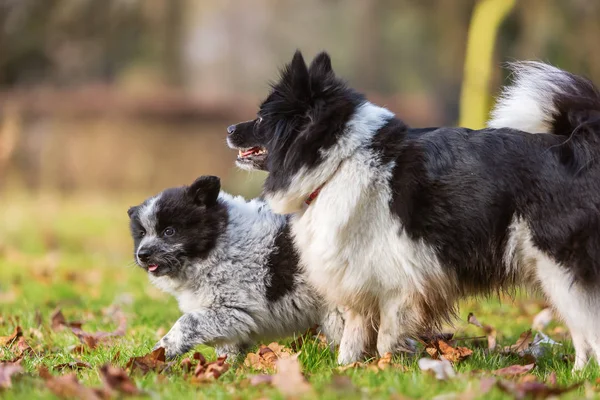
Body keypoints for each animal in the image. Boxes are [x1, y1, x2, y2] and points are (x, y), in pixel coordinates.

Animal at [126, 177, 342, 358]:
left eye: (169, 231)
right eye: (142, 233)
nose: (142, 255)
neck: (220, 243)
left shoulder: (234, 308)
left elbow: (188, 322)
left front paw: (163, 350)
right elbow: (228, 347)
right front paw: (226, 369)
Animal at [227, 51, 600, 370]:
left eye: (261, 118)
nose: (229, 129)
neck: (340, 162)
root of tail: (577, 146)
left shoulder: (399, 283)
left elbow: (386, 338)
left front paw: (386, 368)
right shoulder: (357, 279)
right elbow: (353, 335)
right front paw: (346, 370)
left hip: (559, 269)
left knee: (587, 330)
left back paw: (583, 378)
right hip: (554, 277)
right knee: (581, 333)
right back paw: (578, 374)